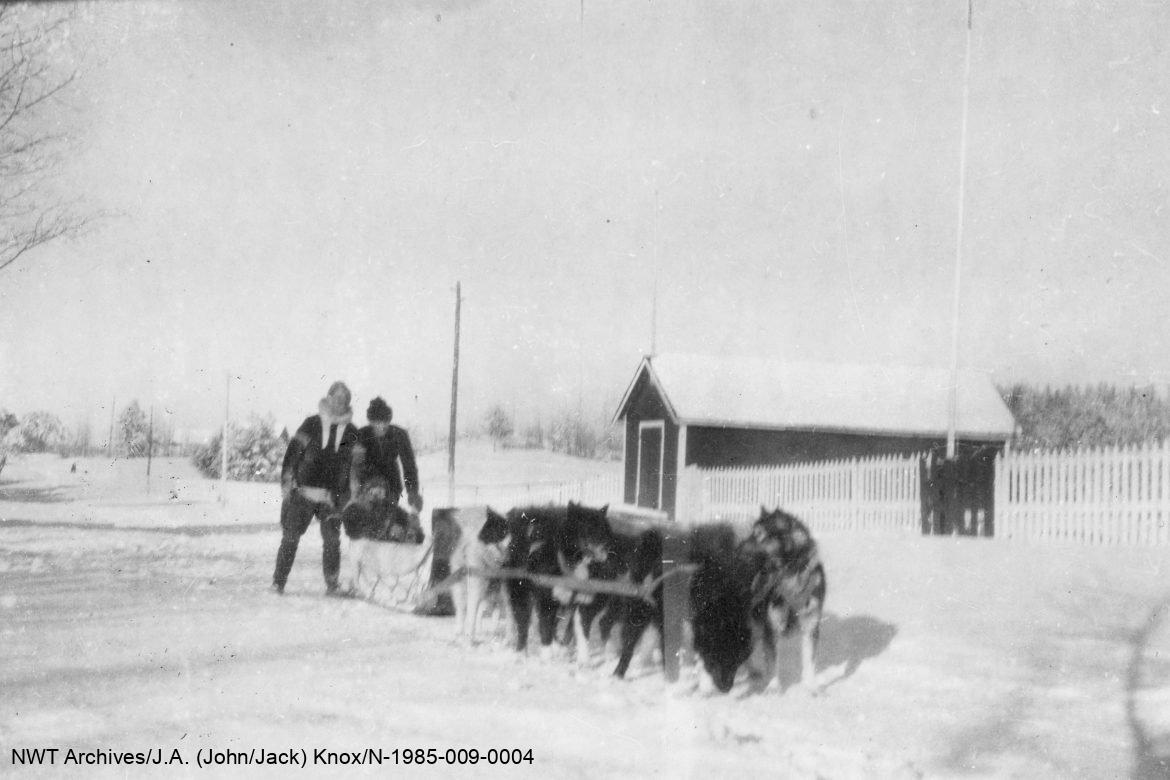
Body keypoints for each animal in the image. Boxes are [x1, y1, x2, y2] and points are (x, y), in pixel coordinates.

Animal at [687, 507, 828, 696]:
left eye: (760, 535)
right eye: (751, 533)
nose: (738, 550)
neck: (790, 584)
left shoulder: (811, 626)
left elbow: (809, 662)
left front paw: (812, 687)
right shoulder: (770, 630)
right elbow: (772, 662)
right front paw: (774, 689)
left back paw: (751, 671)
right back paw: (705, 686)